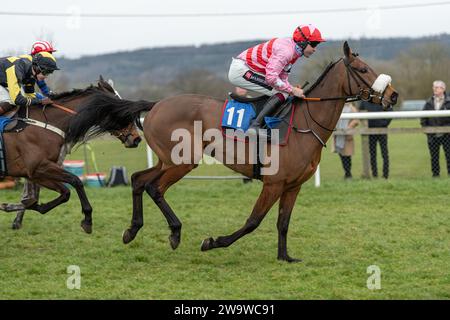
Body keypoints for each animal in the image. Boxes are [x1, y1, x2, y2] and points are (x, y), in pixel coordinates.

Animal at [0, 77, 153, 232]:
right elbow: (75, 181)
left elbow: (53, 195)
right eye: (119, 108)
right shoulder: (39, 167)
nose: (136, 138)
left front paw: (13, 209)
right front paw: (87, 218)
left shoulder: (37, 172)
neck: (46, 123)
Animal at [122, 42, 398, 262]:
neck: (303, 124)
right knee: (155, 188)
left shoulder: (293, 185)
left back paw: (132, 230)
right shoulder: (273, 183)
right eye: (363, 70)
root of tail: (156, 104)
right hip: (182, 161)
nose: (393, 95)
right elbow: (253, 221)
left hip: (167, 160)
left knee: (138, 179)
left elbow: (283, 222)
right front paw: (213, 242)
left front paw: (285, 257)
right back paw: (175, 232)